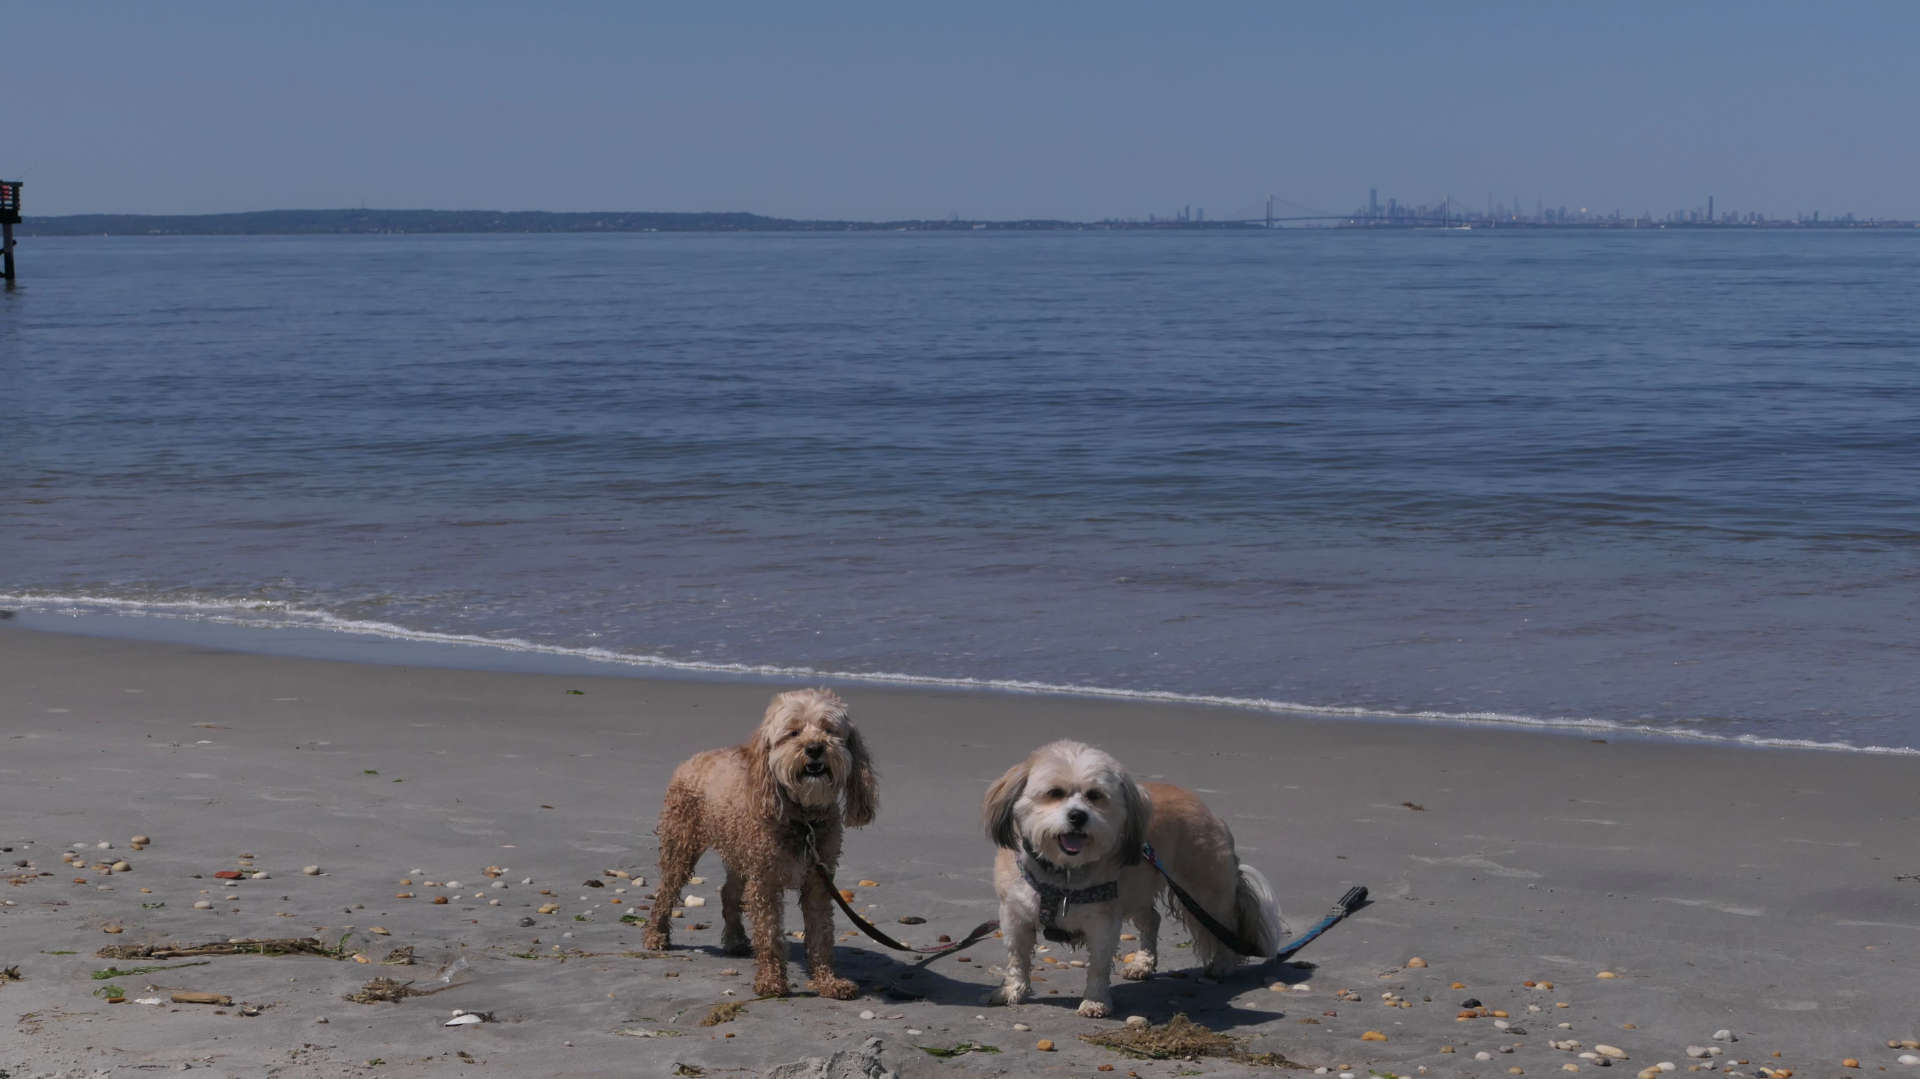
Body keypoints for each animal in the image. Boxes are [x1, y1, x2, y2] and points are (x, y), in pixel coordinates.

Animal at [648, 683, 879, 998]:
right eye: (793, 732)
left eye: (829, 730)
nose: (815, 748)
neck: (802, 818)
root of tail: (691, 760)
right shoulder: (765, 881)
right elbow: (769, 935)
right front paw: (771, 981)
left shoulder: (818, 882)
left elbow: (821, 935)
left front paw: (828, 981)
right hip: (682, 846)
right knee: (665, 892)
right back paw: (655, 935)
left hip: (738, 852)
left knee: (728, 894)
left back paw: (735, 940)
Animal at [983, 733, 1282, 1013]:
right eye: (1054, 792)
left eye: (1095, 796)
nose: (1078, 816)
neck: (1063, 874)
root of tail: (1210, 812)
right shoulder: (1014, 916)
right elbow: (1017, 958)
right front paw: (1013, 990)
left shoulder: (1104, 921)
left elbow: (1099, 965)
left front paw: (1095, 1001)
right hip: (1139, 888)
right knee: (1152, 919)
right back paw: (1143, 964)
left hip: (1205, 892)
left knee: (1224, 927)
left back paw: (1222, 964)